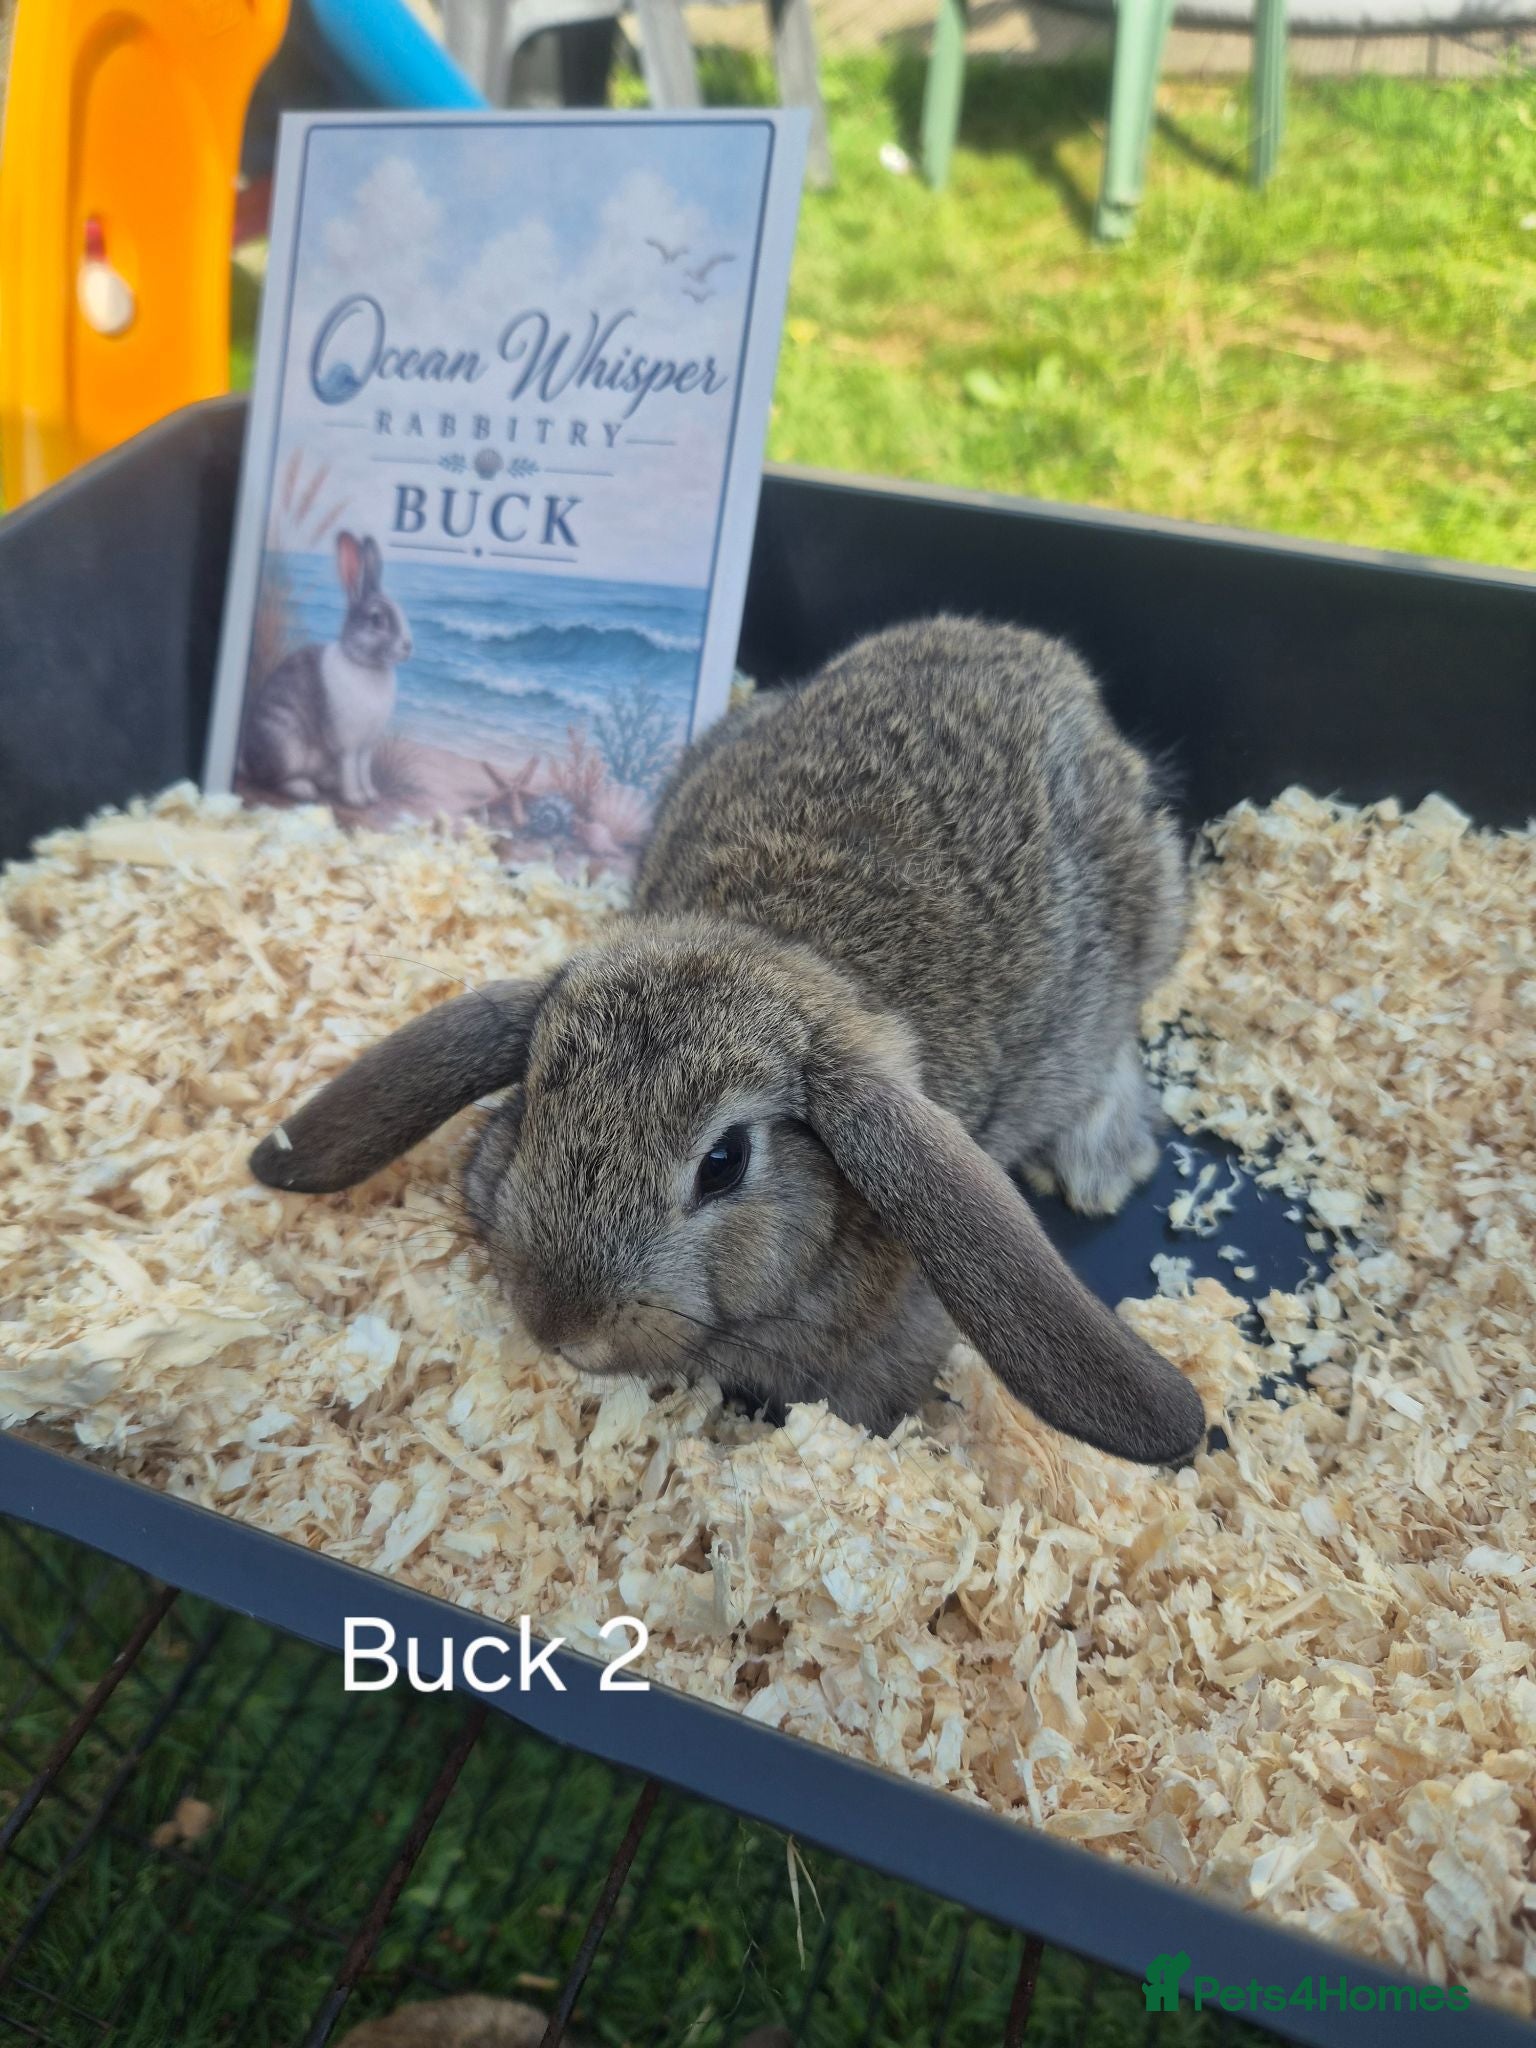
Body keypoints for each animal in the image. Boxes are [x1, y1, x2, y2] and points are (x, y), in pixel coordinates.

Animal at [240, 531, 412, 809]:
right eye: (376, 619)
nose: (408, 646)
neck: (363, 664)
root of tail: (247, 761)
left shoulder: (367, 746)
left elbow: (364, 770)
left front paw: (371, 795)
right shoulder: (349, 744)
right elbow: (352, 768)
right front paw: (355, 798)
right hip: (286, 746)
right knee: (270, 780)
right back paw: (303, 788)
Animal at [249, 618, 1205, 1464]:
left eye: (725, 1163)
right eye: (537, 1098)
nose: (560, 1324)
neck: (775, 942)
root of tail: (1035, 653)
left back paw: (1099, 1161)